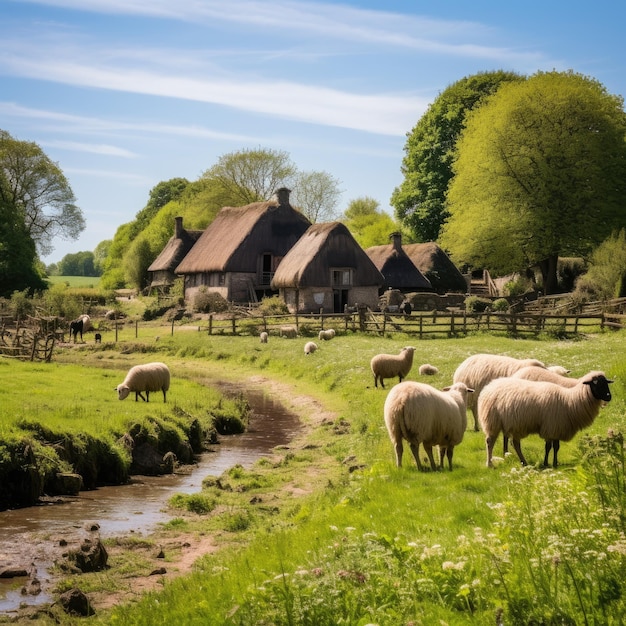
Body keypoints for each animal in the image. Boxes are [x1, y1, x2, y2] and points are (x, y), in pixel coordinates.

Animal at [478, 368, 608, 466]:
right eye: (596, 383)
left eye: (607, 383)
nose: (609, 396)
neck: (569, 401)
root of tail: (488, 387)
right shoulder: (551, 427)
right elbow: (548, 447)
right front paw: (546, 463)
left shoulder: (557, 427)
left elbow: (556, 447)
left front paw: (555, 463)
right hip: (492, 421)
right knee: (490, 442)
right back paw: (490, 464)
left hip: (514, 425)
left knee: (515, 443)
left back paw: (524, 462)